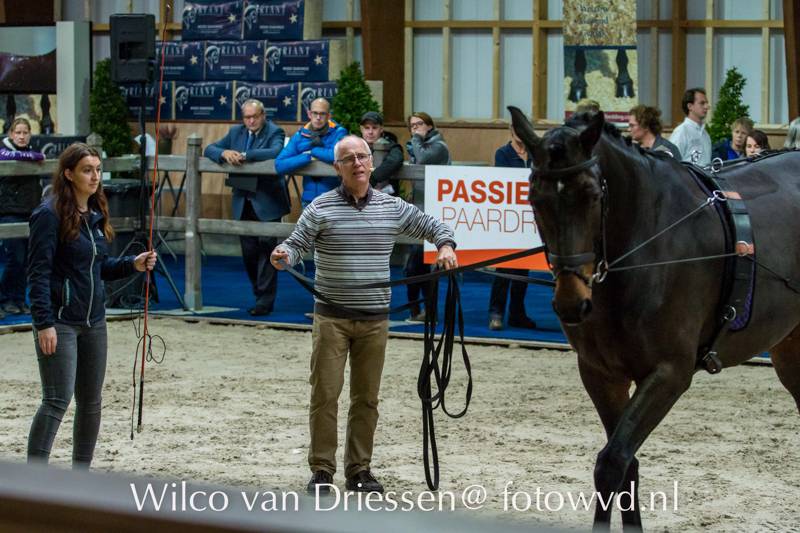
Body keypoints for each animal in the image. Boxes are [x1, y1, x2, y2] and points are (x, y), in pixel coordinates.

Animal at [508, 106, 800, 531]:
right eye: (534, 197)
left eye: (592, 195)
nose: (571, 302)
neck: (647, 244)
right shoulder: (601, 374)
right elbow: (625, 464)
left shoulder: (669, 373)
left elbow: (611, 463)